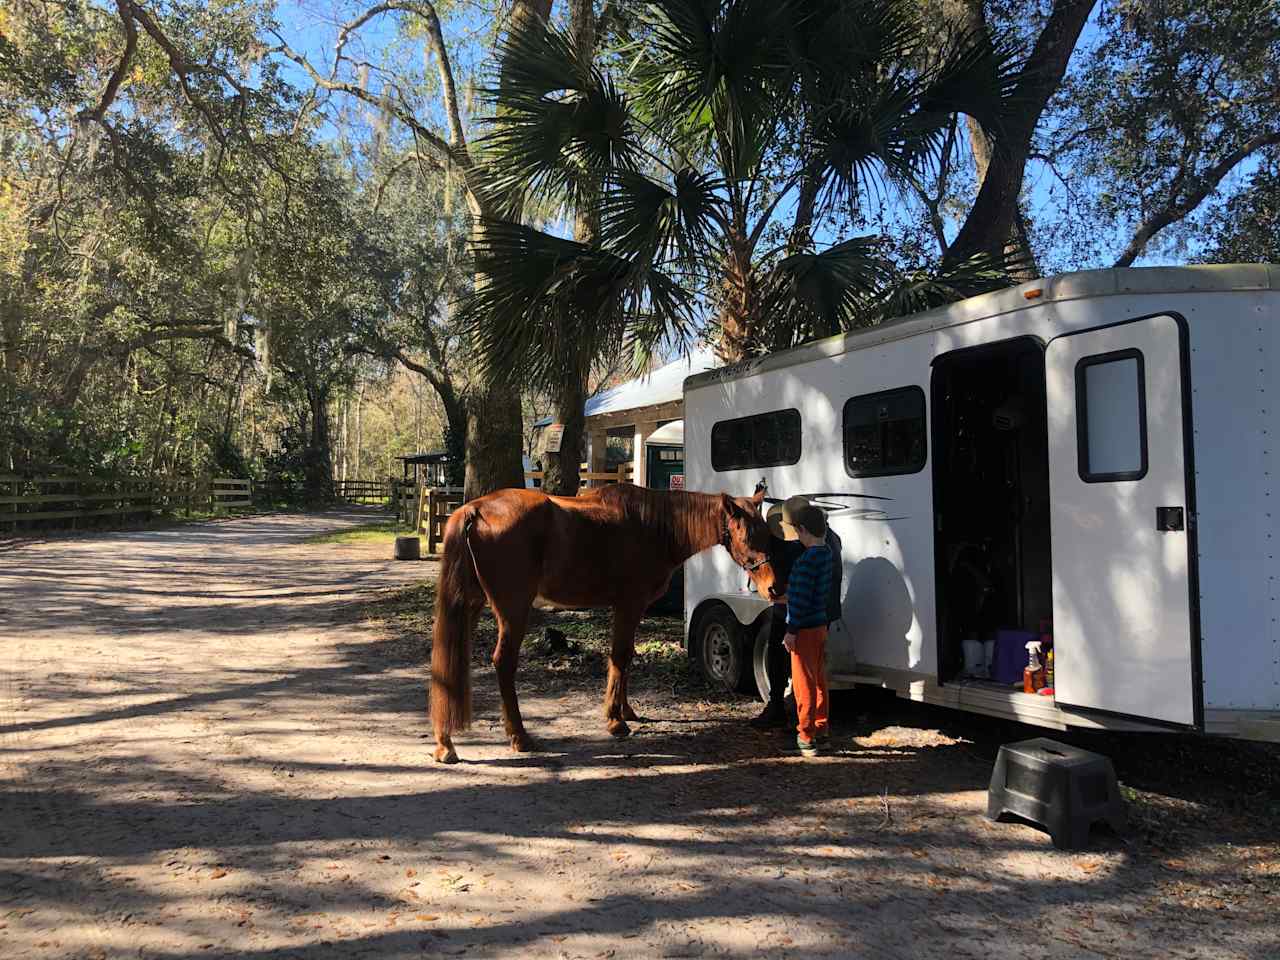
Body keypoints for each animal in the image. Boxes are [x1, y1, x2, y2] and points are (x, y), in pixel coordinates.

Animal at [430, 483, 773, 762]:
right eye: (745, 534)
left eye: (769, 534)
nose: (772, 587)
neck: (652, 527)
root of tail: (475, 510)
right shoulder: (629, 604)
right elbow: (620, 656)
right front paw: (615, 720)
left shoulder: (628, 608)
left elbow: (625, 656)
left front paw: (627, 711)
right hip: (513, 611)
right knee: (503, 663)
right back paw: (519, 736)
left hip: (470, 605)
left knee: (450, 661)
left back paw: (445, 744)